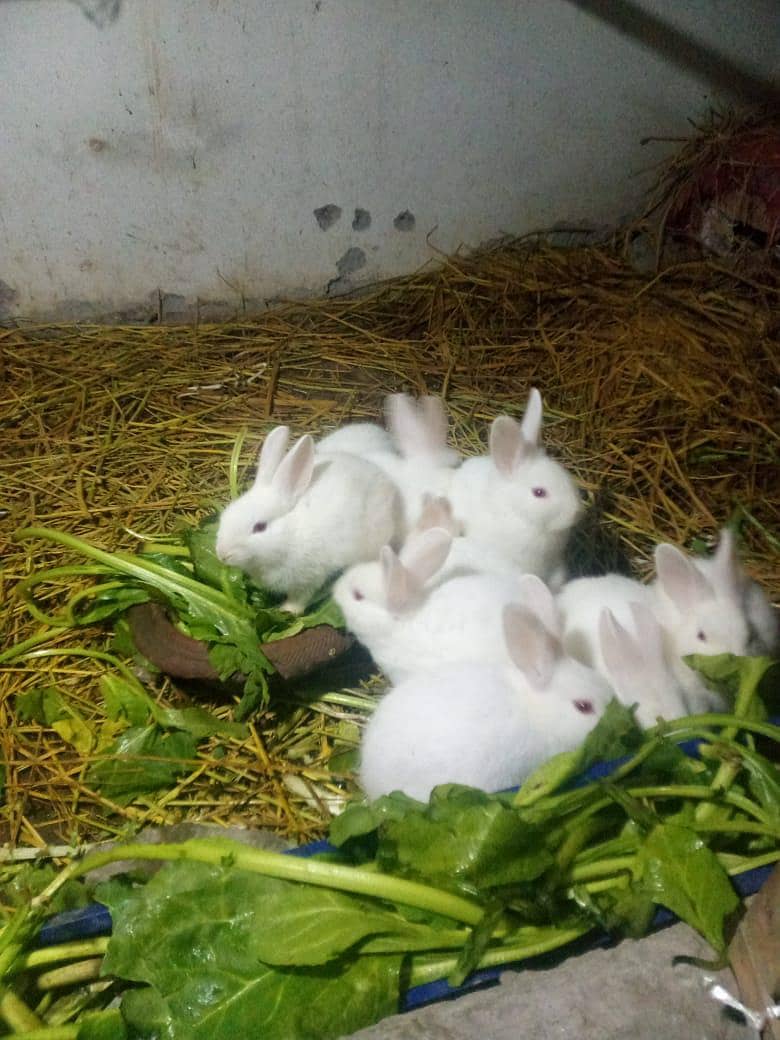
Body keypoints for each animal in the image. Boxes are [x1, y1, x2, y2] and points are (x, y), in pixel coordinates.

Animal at [216, 425, 403, 614]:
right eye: (225, 516)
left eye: (260, 527)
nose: (222, 554)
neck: (290, 533)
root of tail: (385, 479)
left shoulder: (308, 577)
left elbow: (300, 597)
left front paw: (288, 610)